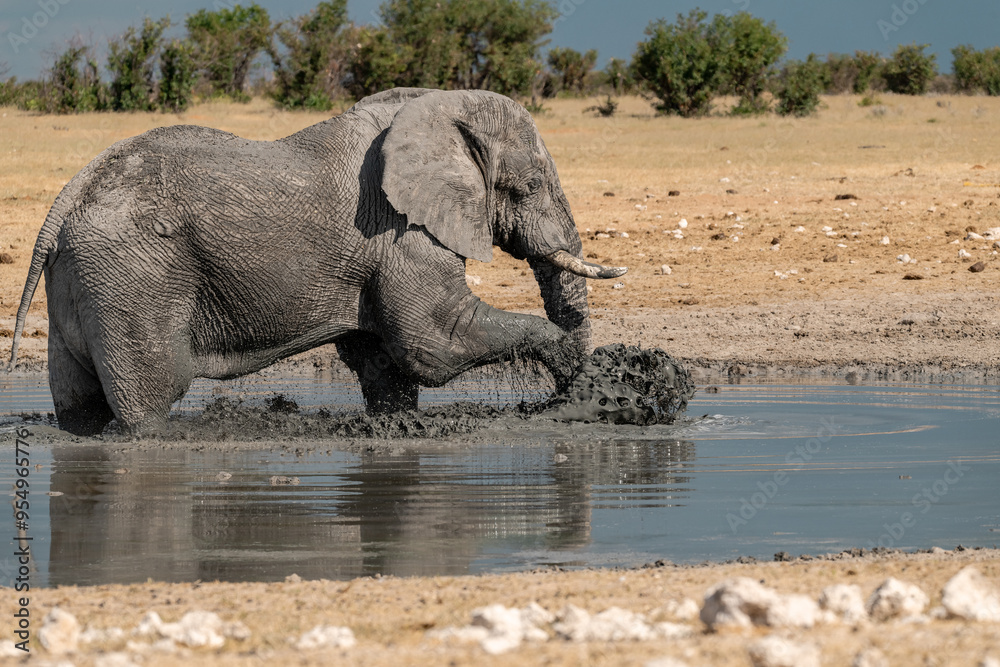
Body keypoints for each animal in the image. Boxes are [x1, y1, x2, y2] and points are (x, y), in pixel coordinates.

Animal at [7, 87, 626, 436]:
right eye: (526, 187)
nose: (569, 403)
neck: (438, 107)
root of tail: (64, 202)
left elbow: (384, 357)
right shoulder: (400, 230)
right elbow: (434, 343)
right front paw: (573, 369)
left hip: (87, 276)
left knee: (80, 403)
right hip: (134, 277)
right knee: (153, 398)